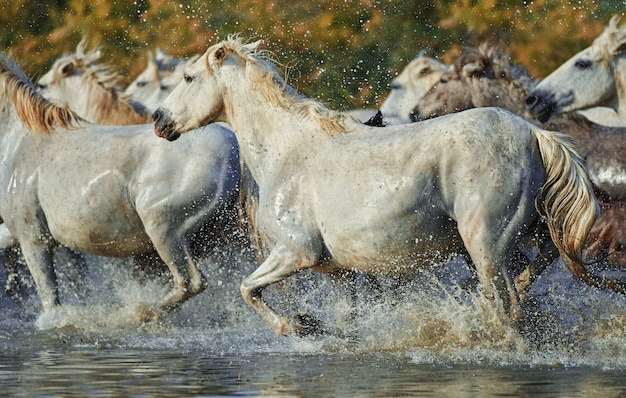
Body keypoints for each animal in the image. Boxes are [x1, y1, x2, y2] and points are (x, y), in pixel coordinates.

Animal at [0, 52, 241, 320]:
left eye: (43, 84)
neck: (18, 142)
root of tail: (233, 149)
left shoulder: (33, 239)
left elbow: (51, 301)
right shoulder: (57, 244)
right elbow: (78, 286)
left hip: (165, 232)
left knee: (189, 282)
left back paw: (134, 315)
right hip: (219, 239)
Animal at [152, 37, 616, 338]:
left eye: (188, 78)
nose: (158, 120)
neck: (288, 152)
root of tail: (533, 133)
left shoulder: (296, 252)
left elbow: (247, 289)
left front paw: (296, 325)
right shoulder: (338, 271)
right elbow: (348, 319)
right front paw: (321, 329)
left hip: (484, 243)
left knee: (509, 311)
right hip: (522, 233)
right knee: (546, 261)